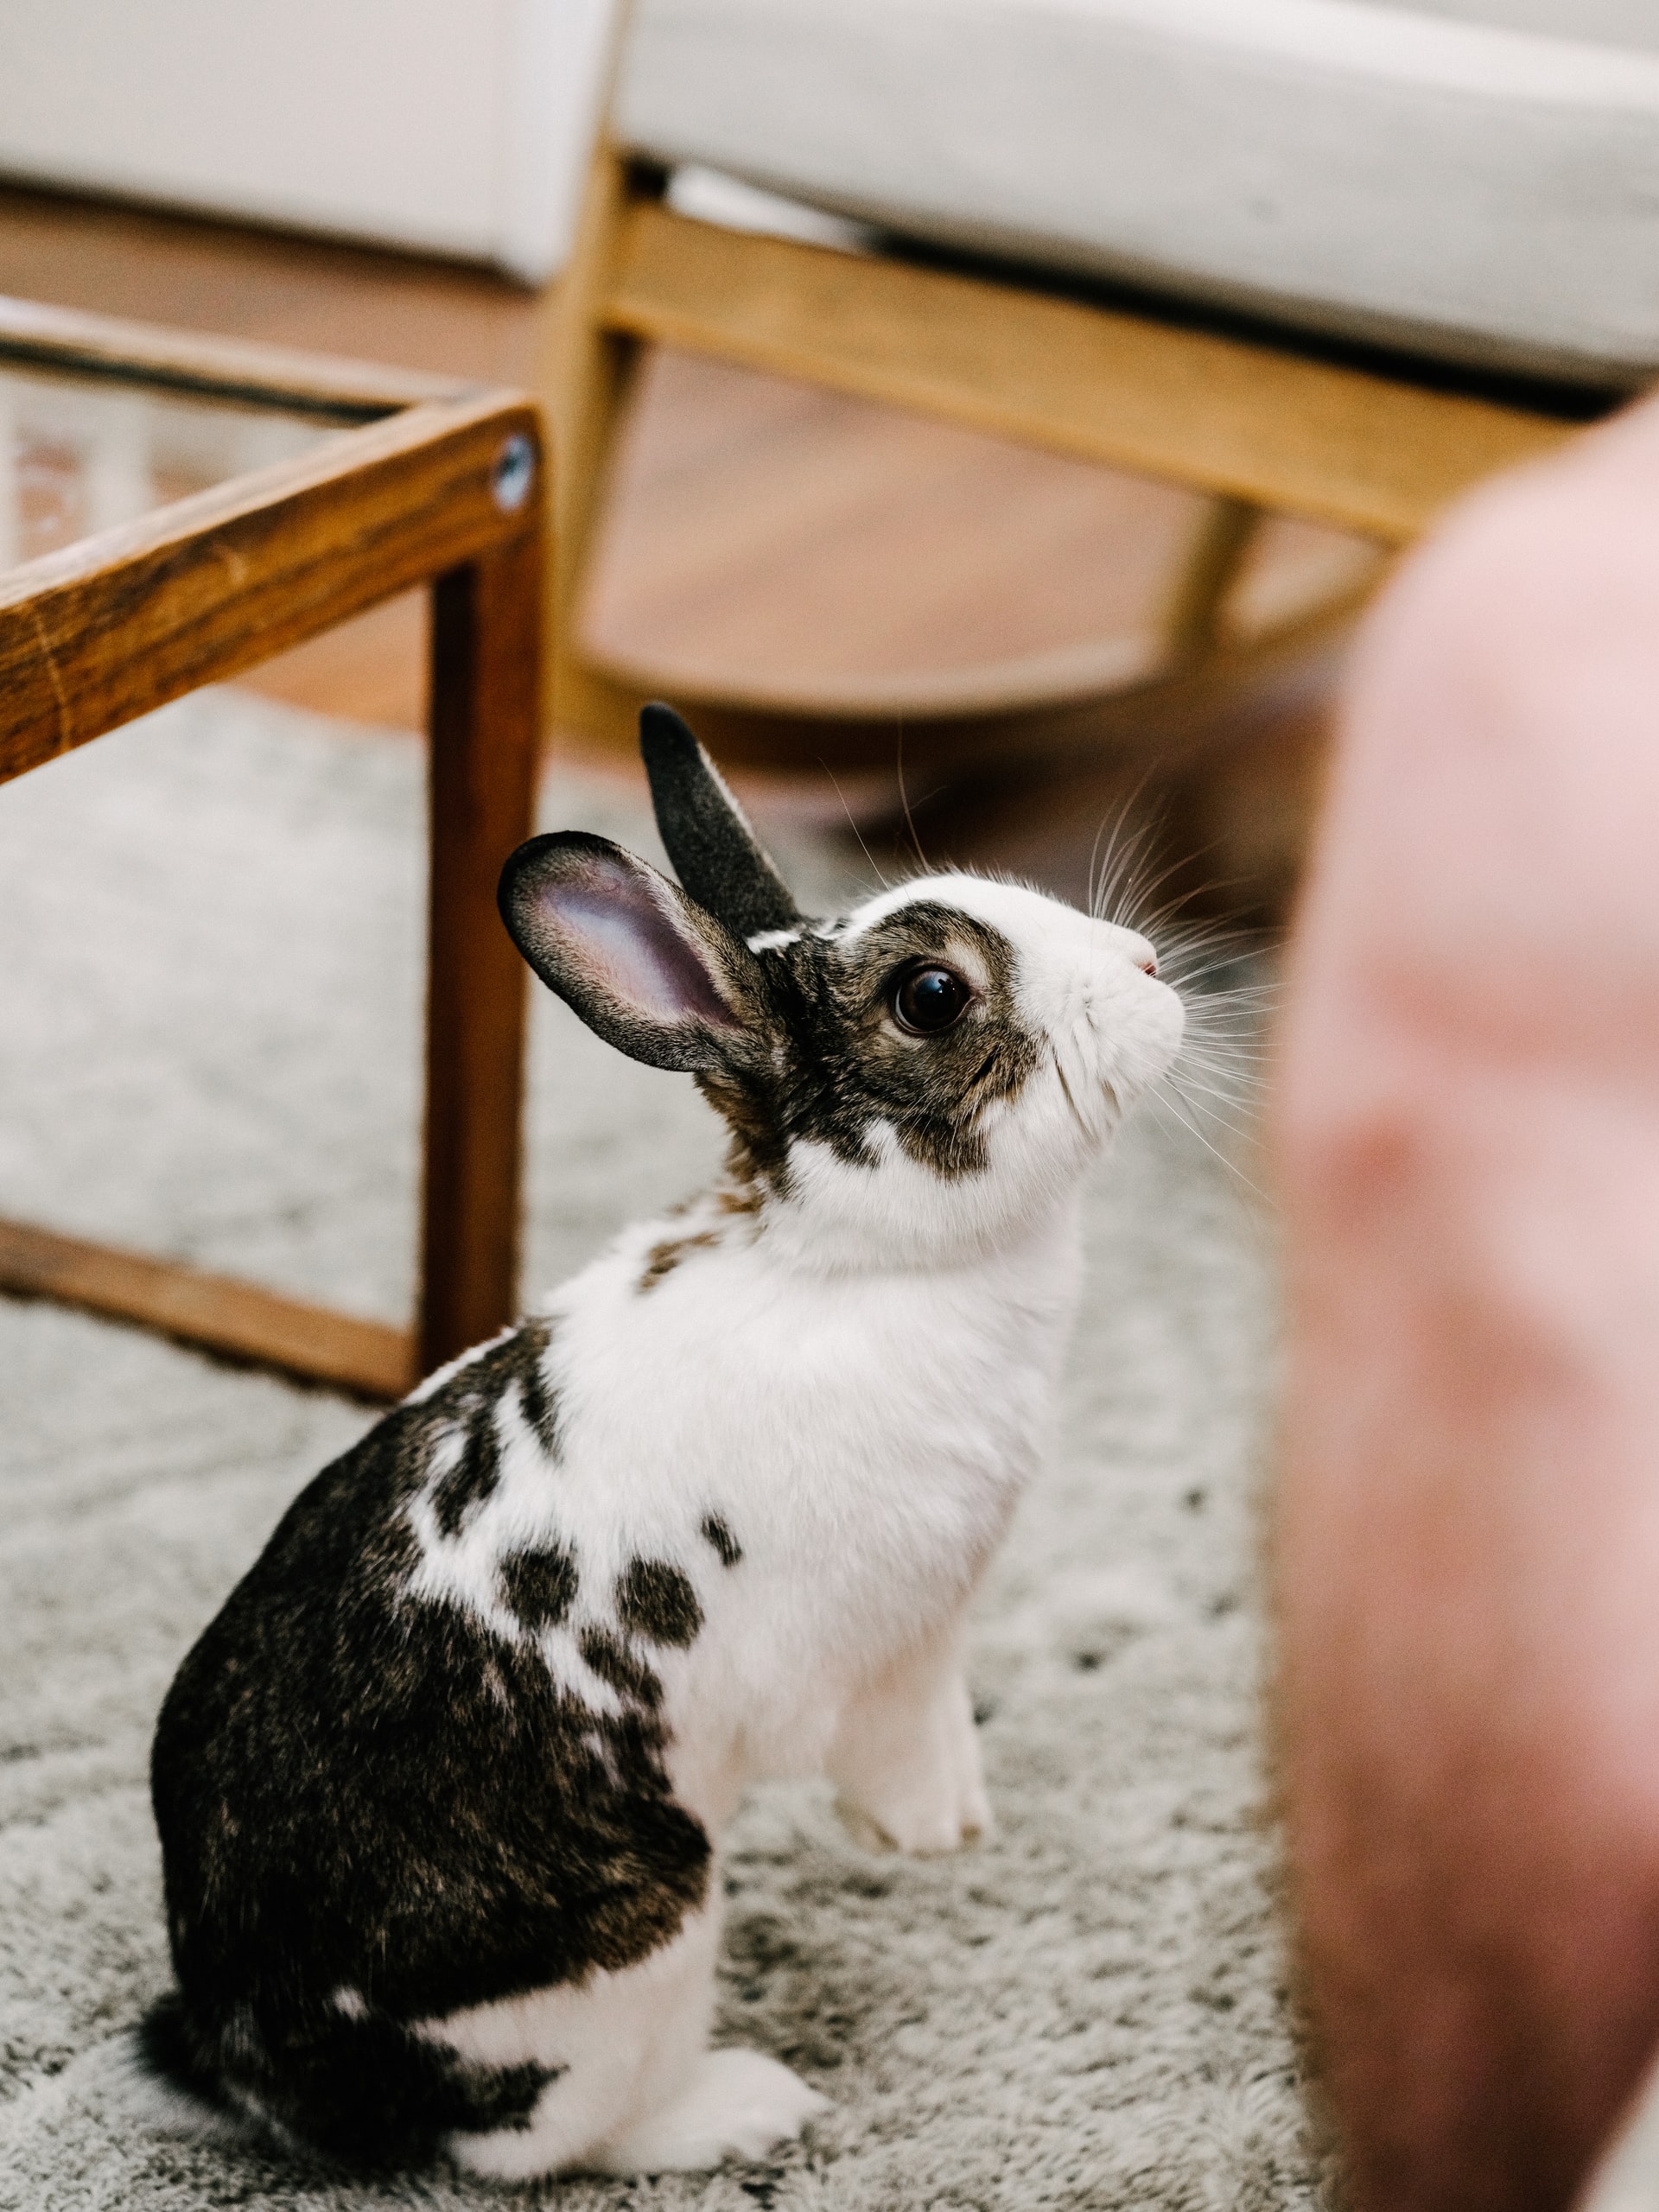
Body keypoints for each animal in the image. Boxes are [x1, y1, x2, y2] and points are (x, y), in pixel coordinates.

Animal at [139, 703, 1185, 2177]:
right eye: (931, 995)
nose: (1150, 967)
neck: (856, 1264)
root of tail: (252, 2068)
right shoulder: (871, 1654)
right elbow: (894, 1737)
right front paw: (929, 1836)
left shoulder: (933, 1634)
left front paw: (958, 1822)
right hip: (650, 1937)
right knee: (548, 2144)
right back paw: (751, 2103)